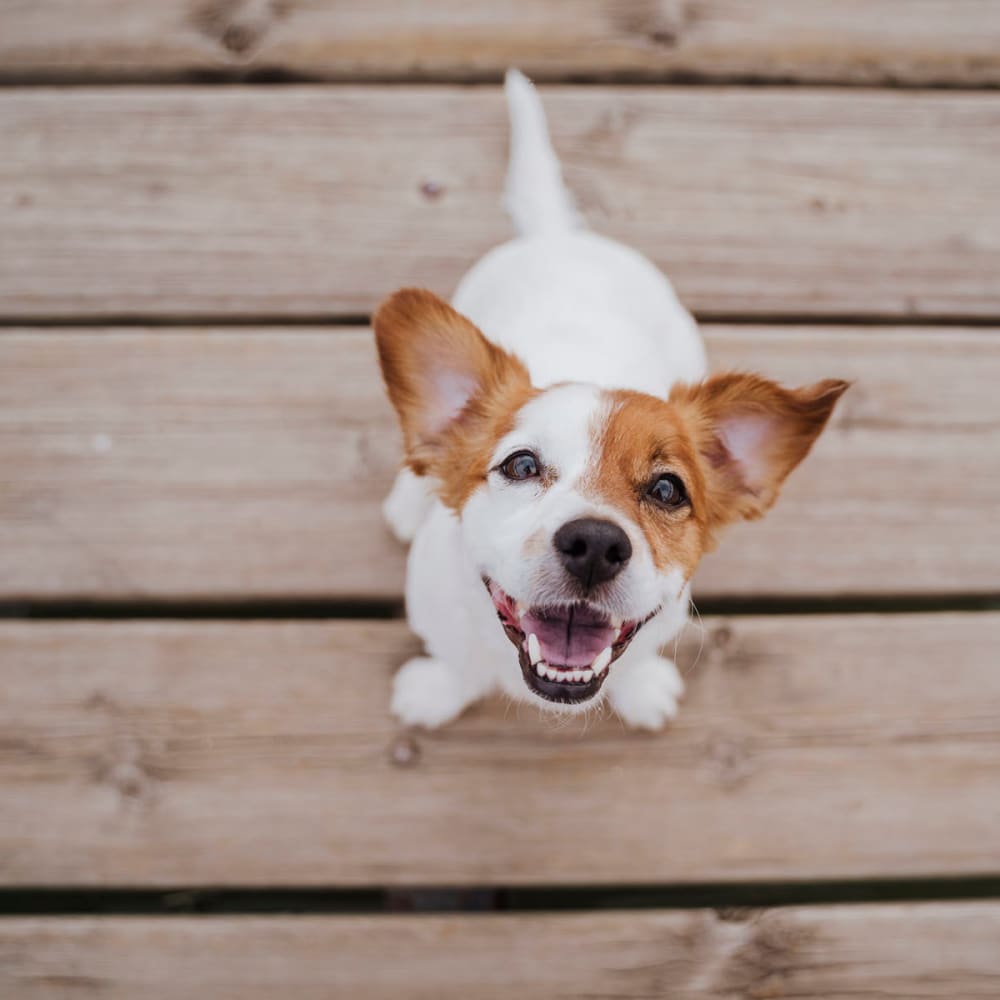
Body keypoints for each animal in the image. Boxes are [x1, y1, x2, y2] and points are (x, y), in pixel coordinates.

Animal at [372, 68, 848, 728]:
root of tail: (559, 236)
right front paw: (435, 692)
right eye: (521, 465)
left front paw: (641, 690)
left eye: (668, 490)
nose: (595, 544)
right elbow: (455, 661)